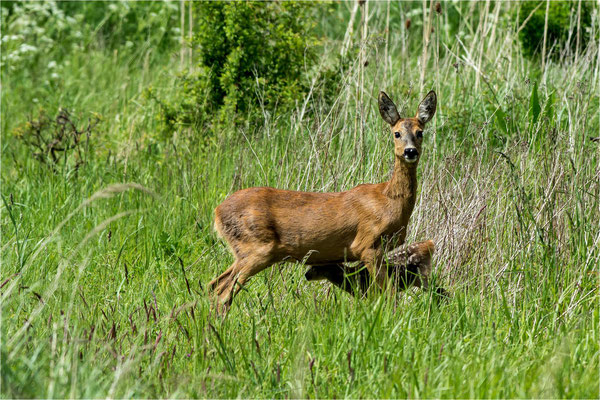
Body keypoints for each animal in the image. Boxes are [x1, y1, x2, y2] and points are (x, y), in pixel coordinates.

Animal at [304, 239, 446, 298]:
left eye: (316, 266)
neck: (351, 277)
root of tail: (429, 244)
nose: (306, 275)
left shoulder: (367, 291)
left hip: (421, 276)